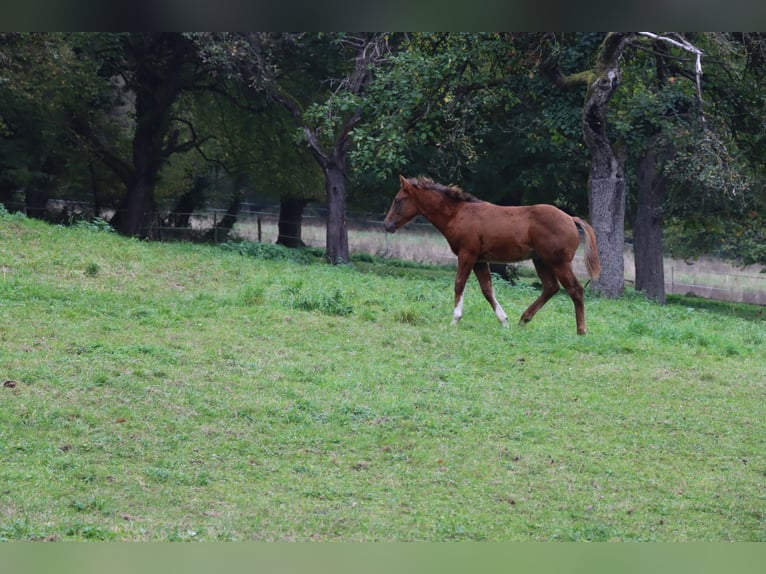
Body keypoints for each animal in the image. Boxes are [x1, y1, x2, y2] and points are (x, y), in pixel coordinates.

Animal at [383, 175, 600, 335]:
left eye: (398, 200)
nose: (387, 225)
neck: (458, 214)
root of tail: (570, 218)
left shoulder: (467, 254)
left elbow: (459, 284)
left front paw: (455, 319)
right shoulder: (480, 260)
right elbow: (487, 290)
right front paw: (504, 321)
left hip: (558, 262)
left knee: (575, 289)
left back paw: (581, 330)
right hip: (541, 261)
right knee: (551, 287)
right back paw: (523, 320)